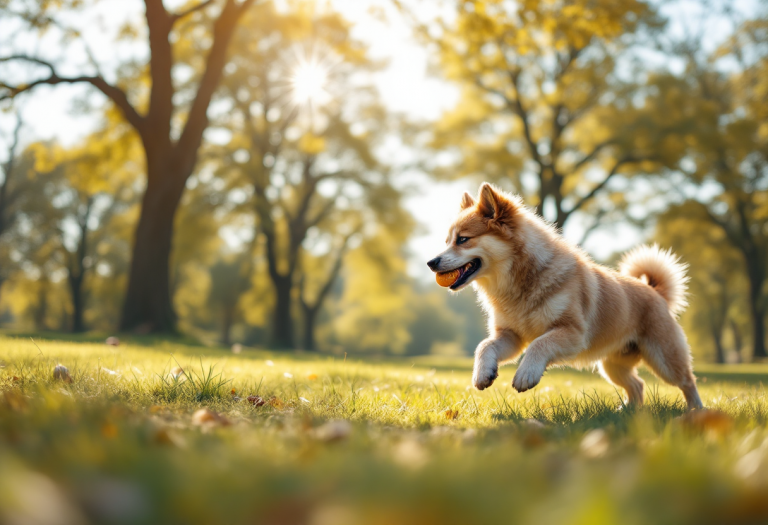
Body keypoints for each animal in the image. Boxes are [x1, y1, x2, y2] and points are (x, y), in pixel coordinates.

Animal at [428, 183, 704, 410]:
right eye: (447, 241)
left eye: (463, 239)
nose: (431, 262)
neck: (519, 283)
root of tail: (656, 292)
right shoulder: (511, 337)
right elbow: (484, 346)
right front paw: (482, 373)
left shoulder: (572, 333)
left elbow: (539, 344)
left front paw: (526, 374)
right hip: (612, 366)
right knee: (638, 385)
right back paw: (627, 413)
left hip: (664, 359)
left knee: (688, 382)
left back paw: (696, 412)